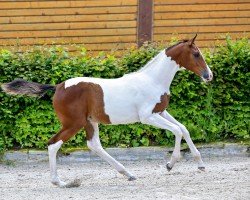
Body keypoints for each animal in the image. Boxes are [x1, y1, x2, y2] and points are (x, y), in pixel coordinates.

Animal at [1, 35, 213, 188]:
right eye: (196, 54)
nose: (208, 75)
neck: (152, 80)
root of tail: (58, 87)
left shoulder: (160, 112)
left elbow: (184, 129)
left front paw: (201, 164)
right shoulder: (148, 117)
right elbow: (177, 131)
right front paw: (170, 164)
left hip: (90, 122)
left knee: (94, 145)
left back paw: (128, 174)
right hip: (74, 123)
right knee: (54, 144)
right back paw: (60, 182)